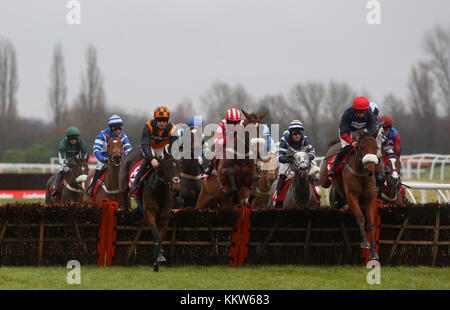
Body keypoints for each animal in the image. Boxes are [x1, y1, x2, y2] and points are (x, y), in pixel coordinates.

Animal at [318, 132, 382, 260]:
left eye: (376, 147)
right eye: (362, 147)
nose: (370, 168)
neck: (361, 172)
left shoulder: (370, 199)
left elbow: (371, 223)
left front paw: (373, 252)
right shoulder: (352, 196)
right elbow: (361, 218)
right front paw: (365, 243)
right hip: (324, 178)